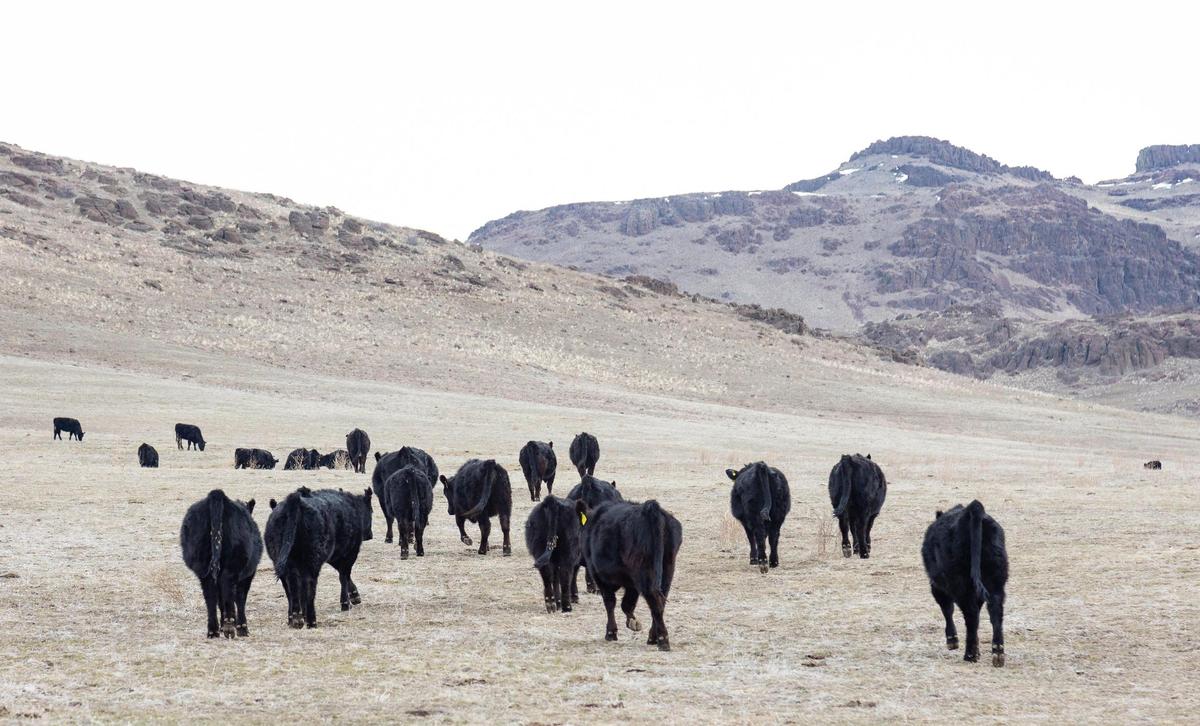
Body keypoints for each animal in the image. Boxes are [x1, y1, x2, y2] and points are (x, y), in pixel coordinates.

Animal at [179, 489, 262, 638]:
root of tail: (217, 495)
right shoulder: (248, 575)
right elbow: (240, 598)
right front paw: (242, 627)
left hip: (203, 568)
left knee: (210, 595)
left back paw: (213, 630)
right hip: (232, 567)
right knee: (228, 590)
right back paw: (229, 626)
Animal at [265, 487, 373, 627]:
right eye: (371, 510)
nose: (370, 535)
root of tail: (295, 501)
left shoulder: (333, 555)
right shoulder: (349, 553)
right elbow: (344, 576)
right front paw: (347, 602)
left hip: (281, 560)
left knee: (290, 585)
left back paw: (294, 618)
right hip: (312, 561)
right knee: (309, 585)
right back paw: (310, 620)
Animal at [576, 498, 682, 651]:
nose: (579, 559)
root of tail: (650, 508)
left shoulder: (599, 576)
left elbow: (610, 602)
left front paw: (611, 633)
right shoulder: (631, 583)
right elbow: (627, 603)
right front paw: (633, 622)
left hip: (644, 571)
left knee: (654, 601)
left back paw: (662, 640)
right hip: (667, 569)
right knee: (660, 602)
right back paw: (653, 637)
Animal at [921, 500, 1009, 667]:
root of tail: (973, 508)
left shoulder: (936, 585)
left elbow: (947, 609)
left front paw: (952, 640)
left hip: (959, 584)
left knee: (971, 615)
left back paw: (970, 655)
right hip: (996, 581)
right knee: (995, 612)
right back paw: (997, 653)